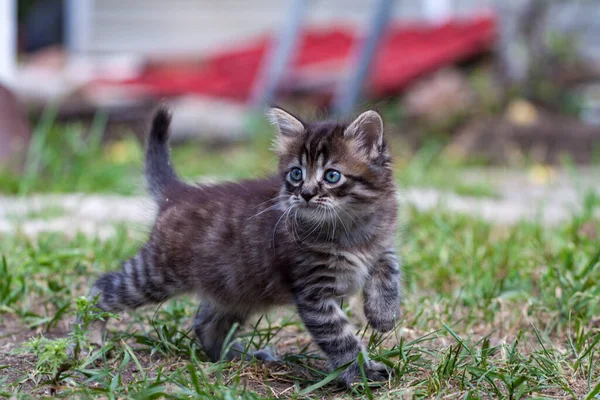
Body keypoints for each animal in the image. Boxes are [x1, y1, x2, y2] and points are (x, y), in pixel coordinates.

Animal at [85, 105, 404, 384]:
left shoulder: (383, 243)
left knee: (204, 324)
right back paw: (89, 339)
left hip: (237, 288)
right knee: (102, 287)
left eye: (332, 175)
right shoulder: (313, 292)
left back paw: (239, 356)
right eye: (296, 174)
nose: (306, 194)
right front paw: (360, 372)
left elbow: (389, 270)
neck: (350, 228)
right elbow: (339, 337)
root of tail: (179, 194)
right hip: (157, 273)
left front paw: (383, 315)